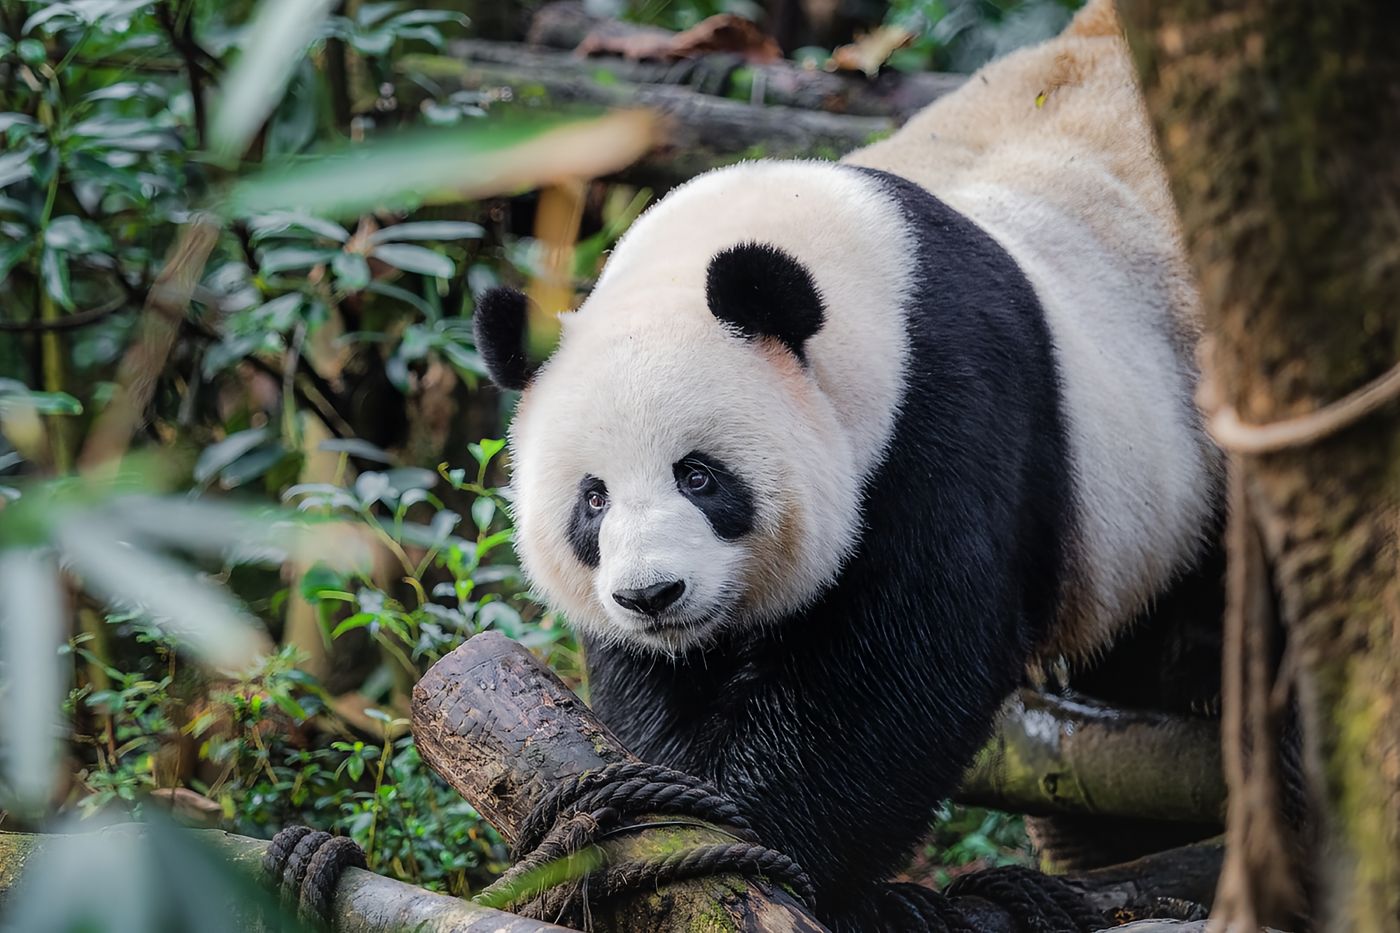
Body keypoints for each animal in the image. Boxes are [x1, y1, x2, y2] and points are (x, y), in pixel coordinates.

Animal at [473, 0, 1222, 926]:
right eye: (593, 500)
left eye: (699, 475)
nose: (653, 595)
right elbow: (651, 686)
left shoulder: (947, 412)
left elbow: (899, 669)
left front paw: (772, 840)